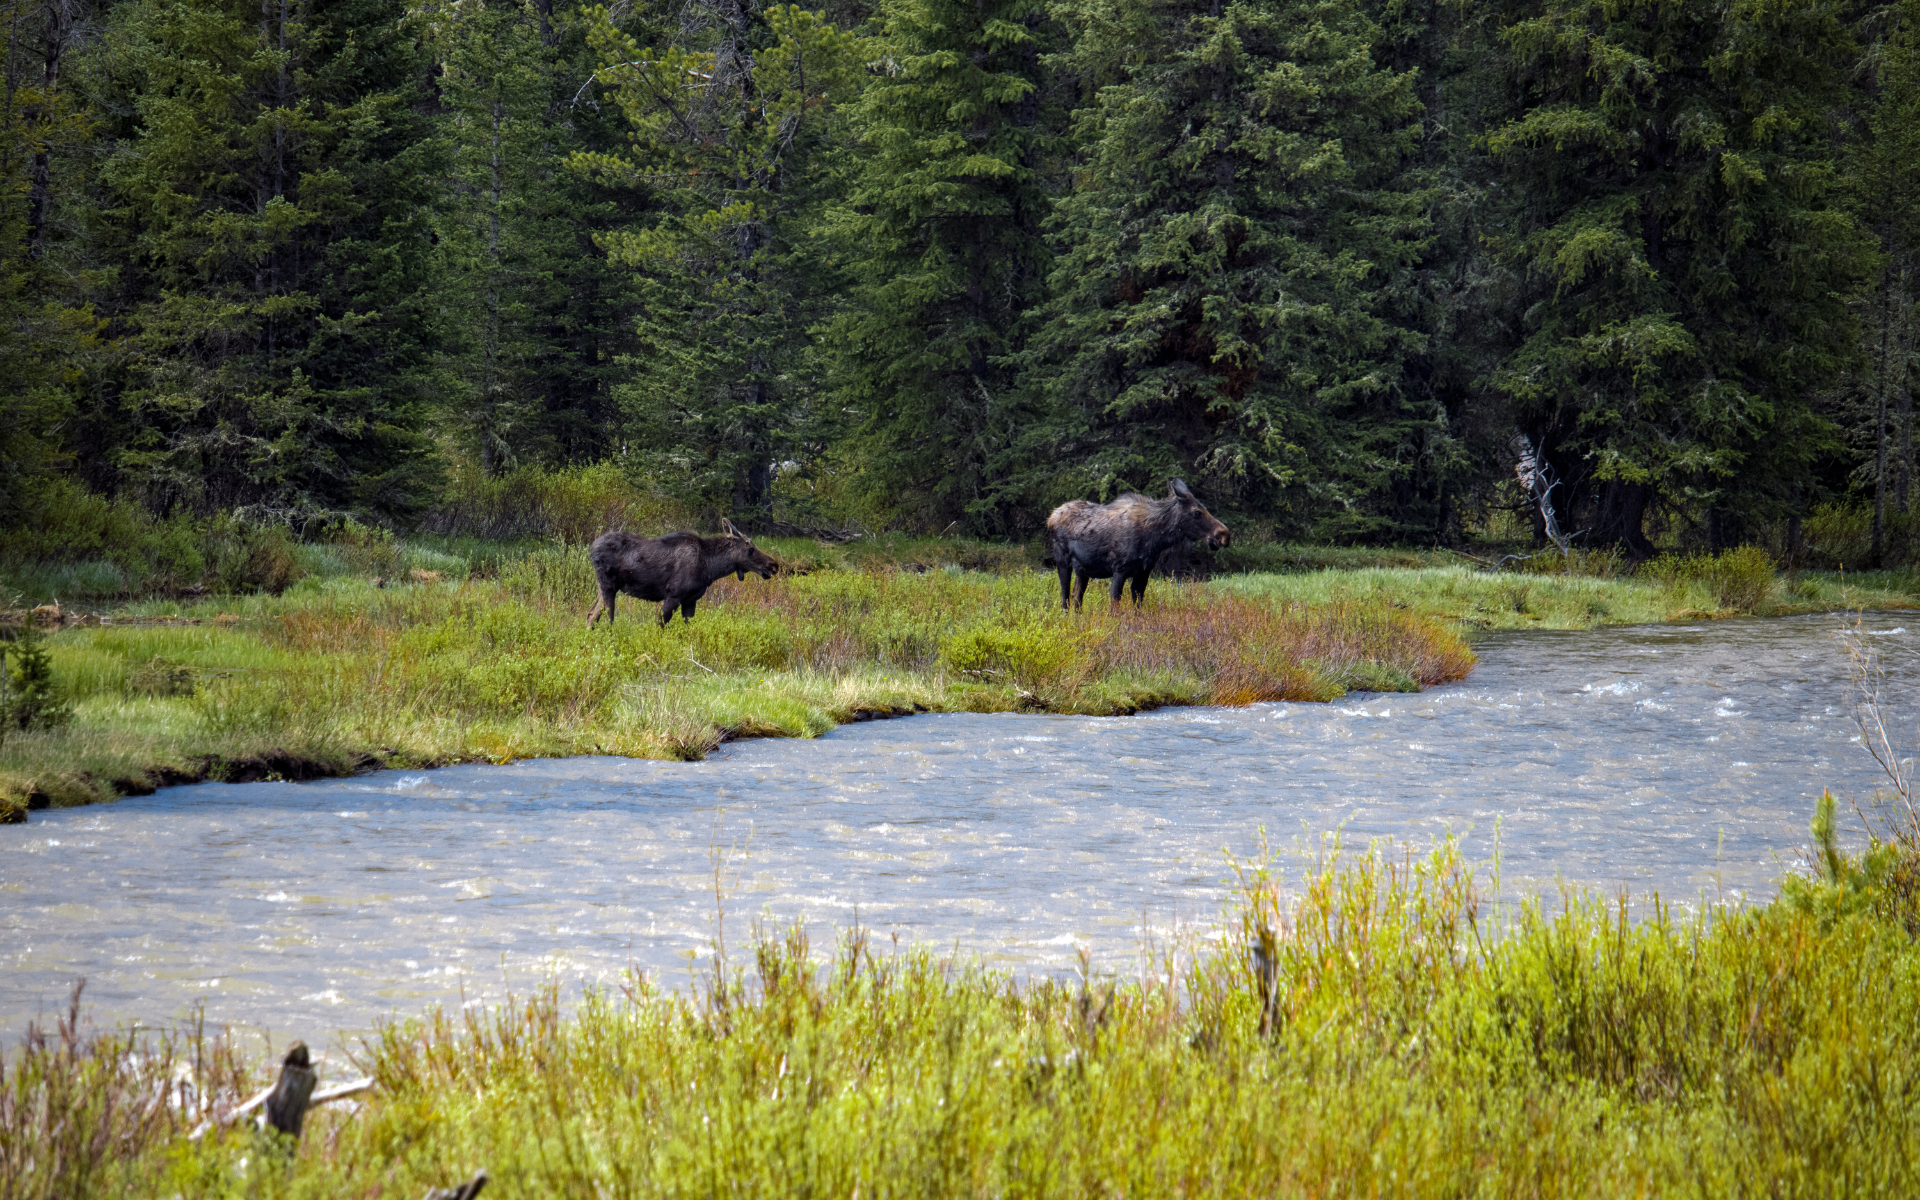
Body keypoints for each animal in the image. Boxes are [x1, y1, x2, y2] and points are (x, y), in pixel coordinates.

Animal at [579, 518, 775, 625]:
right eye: (750, 549)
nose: (773, 565)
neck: (710, 568)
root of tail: (591, 548)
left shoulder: (690, 600)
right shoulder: (673, 595)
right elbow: (660, 625)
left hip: (603, 587)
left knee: (592, 614)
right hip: (609, 586)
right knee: (608, 619)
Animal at [1052, 478, 1228, 606]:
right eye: (1197, 512)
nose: (1224, 535)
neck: (1155, 540)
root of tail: (1051, 516)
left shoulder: (1143, 572)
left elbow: (1138, 607)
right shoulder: (1119, 570)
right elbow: (1115, 607)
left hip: (1083, 569)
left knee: (1076, 599)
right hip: (1062, 562)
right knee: (1064, 598)